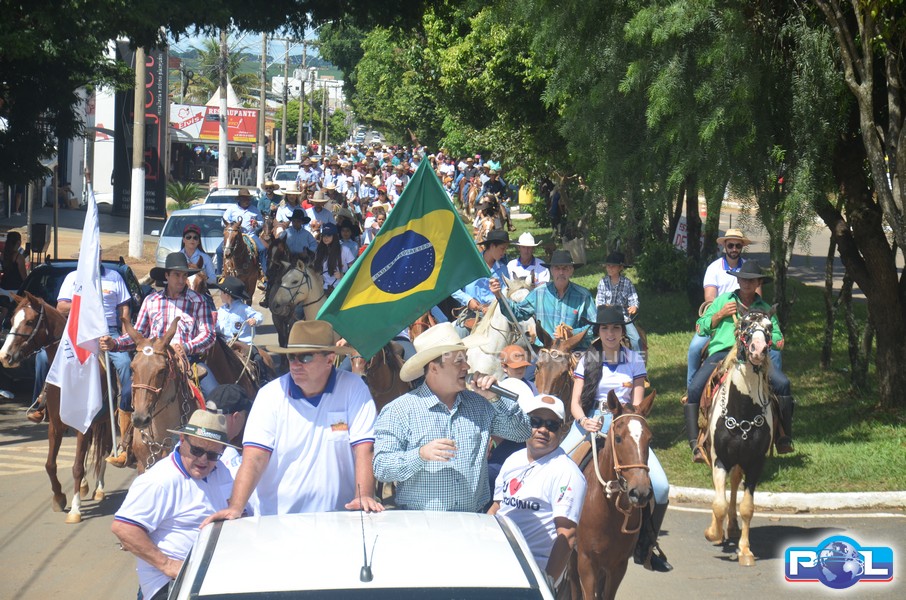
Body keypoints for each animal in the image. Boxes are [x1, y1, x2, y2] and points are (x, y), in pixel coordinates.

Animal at [0, 292, 112, 524]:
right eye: (12, 319)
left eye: (30, 321)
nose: (4, 356)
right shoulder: (56, 425)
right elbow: (50, 464)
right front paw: (59, 497)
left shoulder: (82, 428)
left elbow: (77, 466)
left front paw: (76, 510)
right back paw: (86, 486)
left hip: (107, 421)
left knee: (104, 451)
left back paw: (99, 489)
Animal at [696, 310, 772, 568]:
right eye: (745, 324)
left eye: (770, 327)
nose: (758, 350)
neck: (744, 414)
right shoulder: (719, 458)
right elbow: (717, 504)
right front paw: (712, 533)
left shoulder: (756, 462)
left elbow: (747, 507)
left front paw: (745, 551)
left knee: (736, 482)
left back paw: (732, 527)